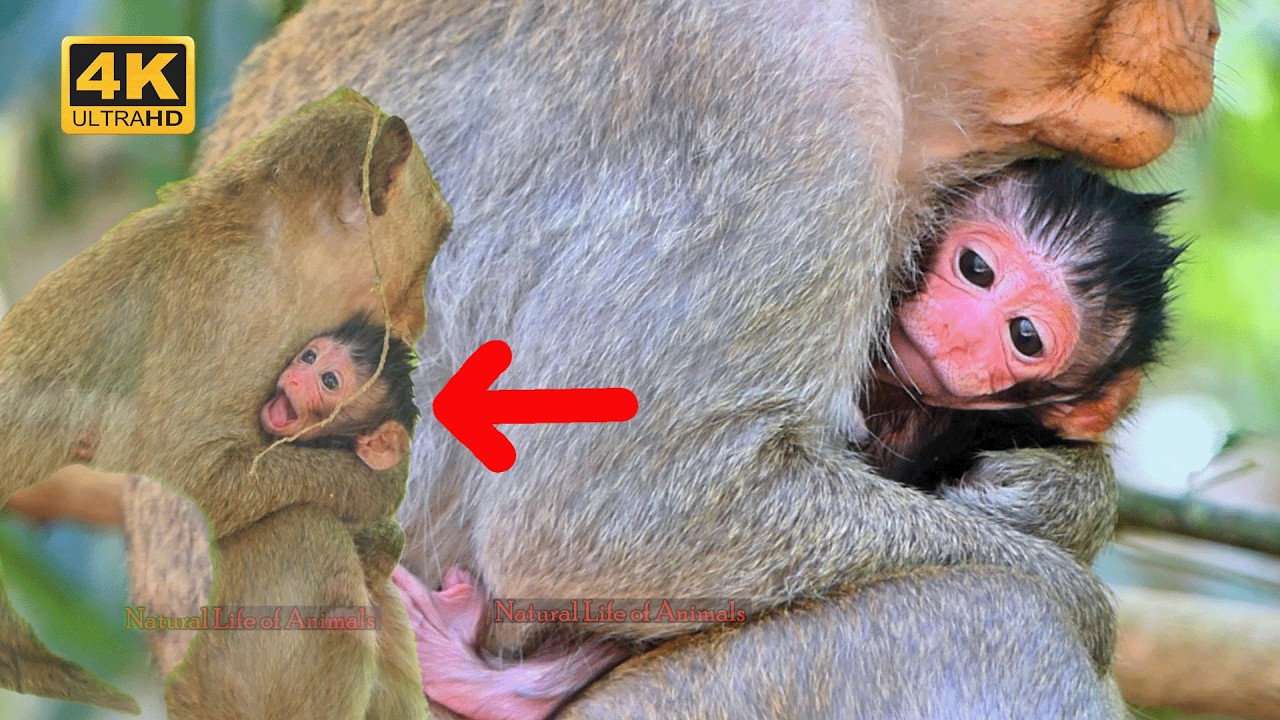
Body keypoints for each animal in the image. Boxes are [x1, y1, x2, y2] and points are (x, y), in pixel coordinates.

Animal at [0, 88, 450, 717]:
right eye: (439, 242)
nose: (417, 318)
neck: (280, 249)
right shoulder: (228, 305)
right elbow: (188, 480)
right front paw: (378, 486)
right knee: (307, 538)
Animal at [125, 0, 1218, 716]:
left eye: (1025, 333)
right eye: (976, 271)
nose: (1205, 30)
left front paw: (1063, 488)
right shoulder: (790, 93)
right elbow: (608, 519)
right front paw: (1076, 572)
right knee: (986, 616)